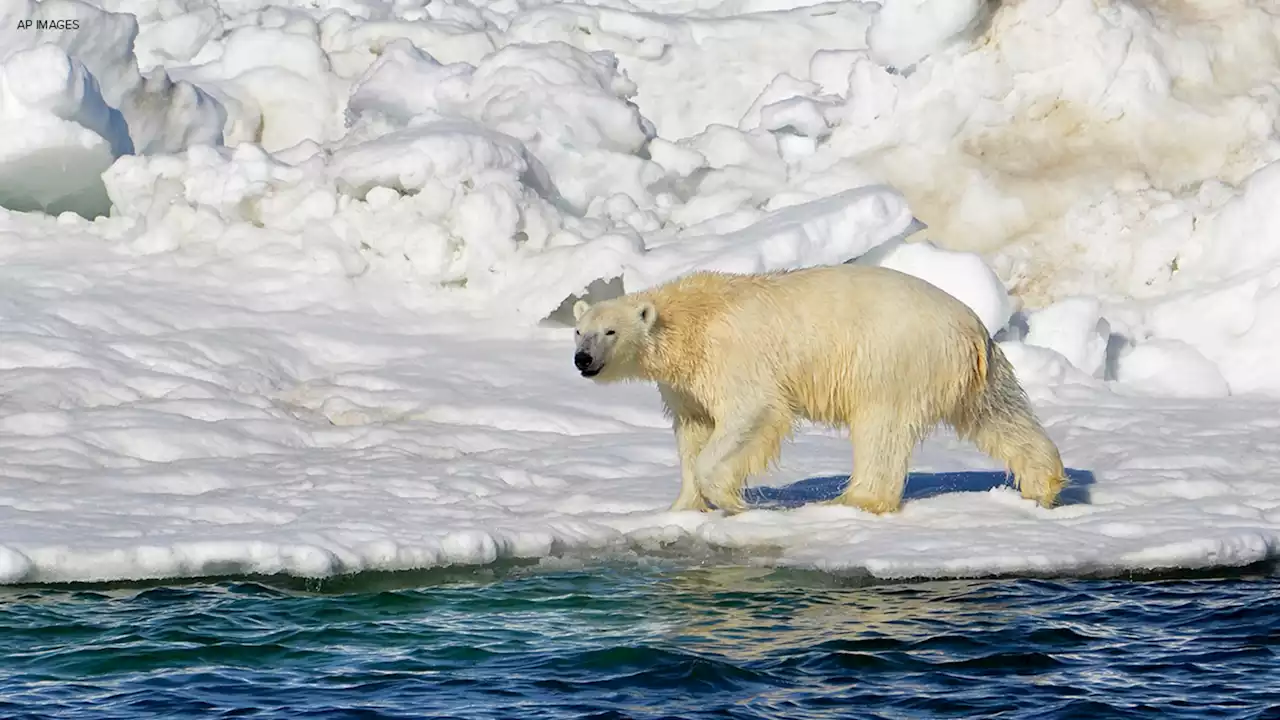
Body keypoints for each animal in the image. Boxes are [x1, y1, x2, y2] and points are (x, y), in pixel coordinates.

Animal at [576, 262, 1064, 509]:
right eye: (580, 330)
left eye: (610, 332)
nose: (582, 360)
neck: (691, 320)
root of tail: (971, 327)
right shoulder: (686, 384)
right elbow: (693, 430)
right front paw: (682, 508)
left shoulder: (734, 358)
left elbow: (752, 413)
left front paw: (730, 500)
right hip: (976, 371)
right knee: (999, 415)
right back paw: (1044, 484)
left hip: (893, 359)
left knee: (881, 429)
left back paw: (855, 500)